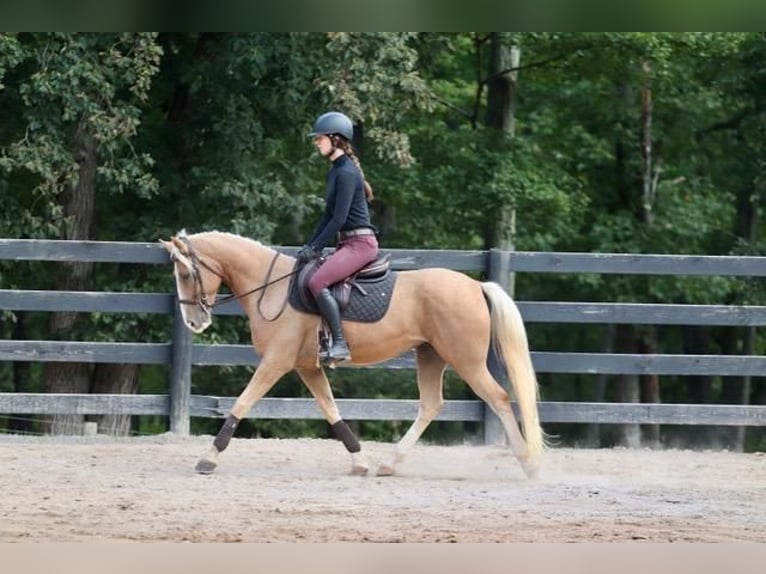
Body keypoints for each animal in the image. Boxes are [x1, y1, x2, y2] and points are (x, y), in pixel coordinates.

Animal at [160, 232, 544, 480]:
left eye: (185, 273)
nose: (194, 322)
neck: (273, 288)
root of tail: (476, 286)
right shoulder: (306, 367)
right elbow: (331, 410)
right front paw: (359, 462)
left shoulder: (276, 362)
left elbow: (242, 403)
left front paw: (208, 459)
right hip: (431, 356)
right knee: (431, 404)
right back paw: (389, 464)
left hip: (467, 361)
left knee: (498, 397)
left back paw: (529, 463)